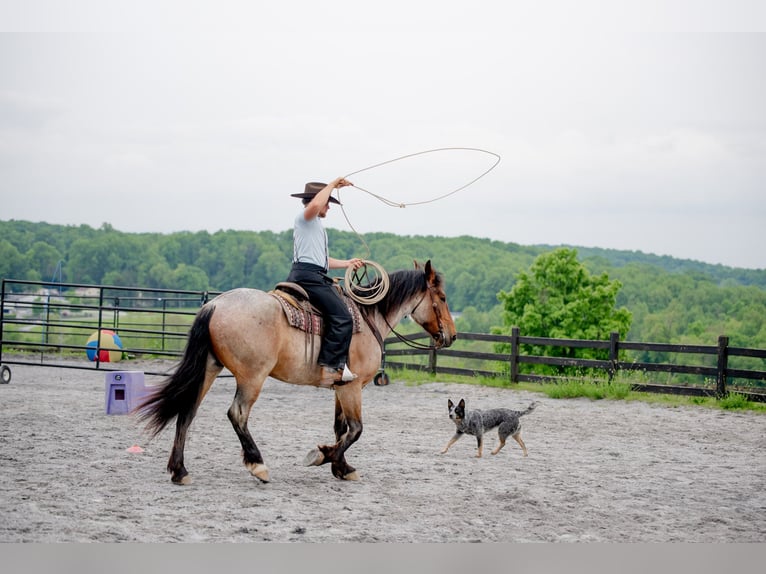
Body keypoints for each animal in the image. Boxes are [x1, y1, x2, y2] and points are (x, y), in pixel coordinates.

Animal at [138, 260, 456, 486]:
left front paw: (338, 465)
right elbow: (355, 429)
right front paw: (327, 458)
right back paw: (258, 465)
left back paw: (179, 470)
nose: (451, 335)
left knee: (187, 412)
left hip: (209, 369)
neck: (368, 318)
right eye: (441, 296)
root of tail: (214, 304)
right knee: (237, 414)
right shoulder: (353, 388)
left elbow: (340, 428)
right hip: (252, 377)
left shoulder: (341, 387)